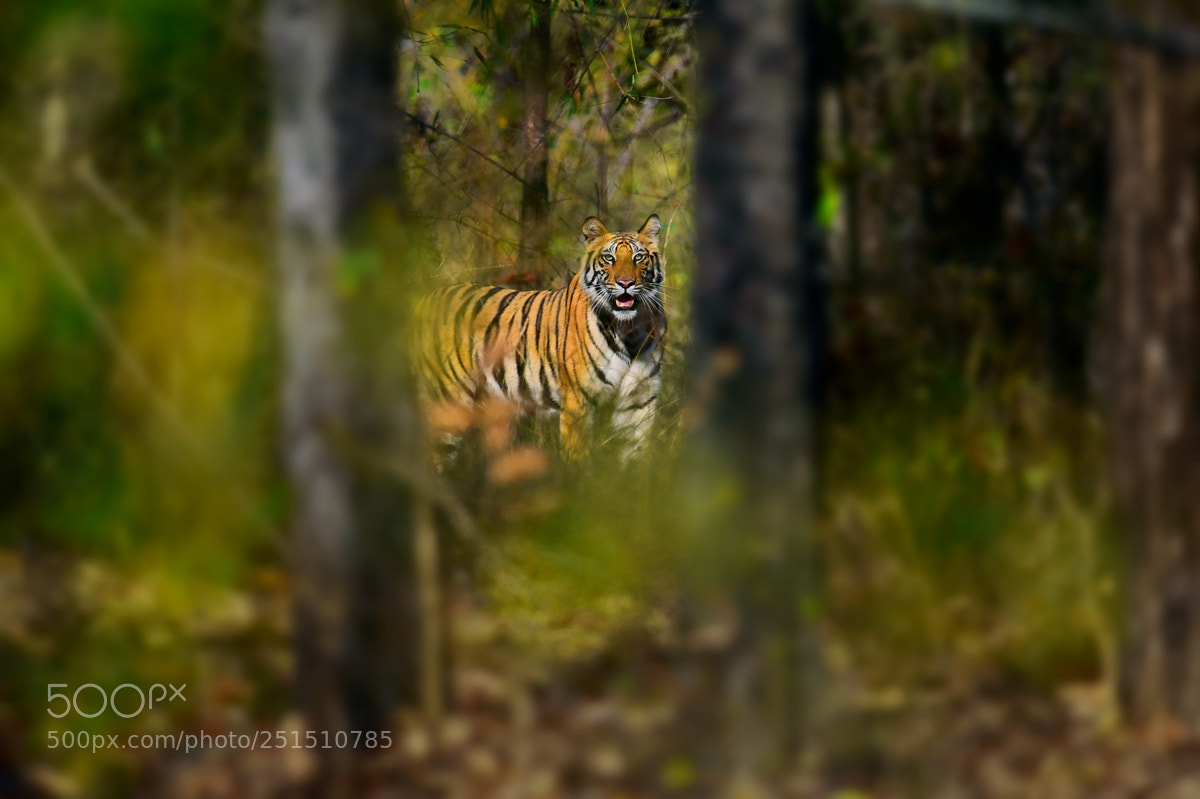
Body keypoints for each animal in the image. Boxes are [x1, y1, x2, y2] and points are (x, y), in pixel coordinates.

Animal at [416, 214, 666, 460]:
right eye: (609, 258)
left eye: (638, 257)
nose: (626, 283)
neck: (629, 329)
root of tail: (424, 299)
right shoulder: (578, 402)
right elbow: (579, 459)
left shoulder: (639, 403)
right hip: (446, 403)